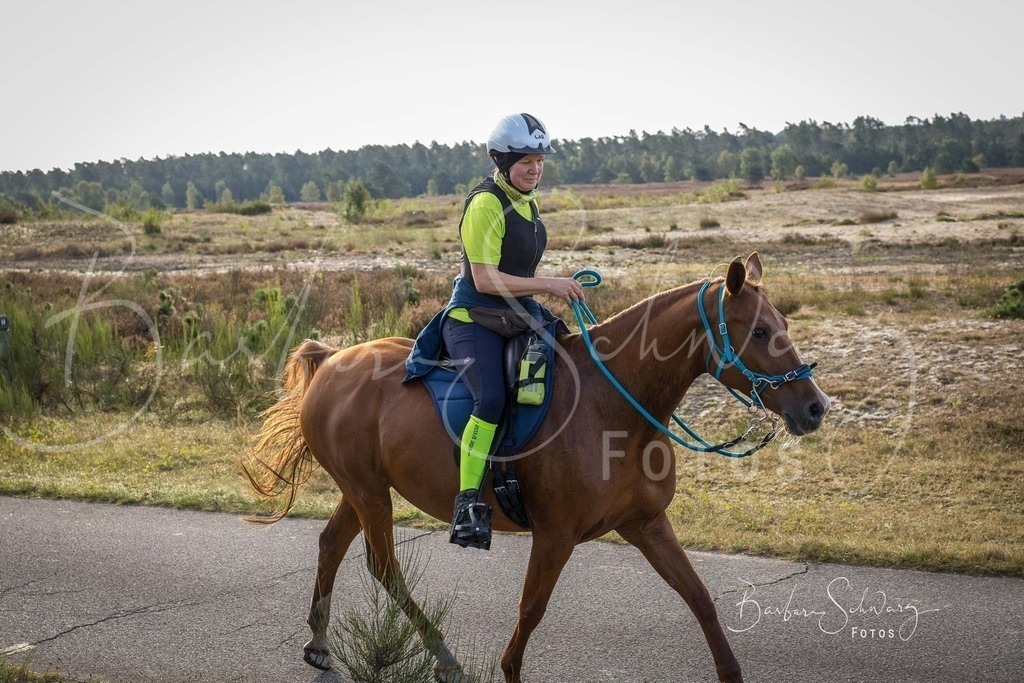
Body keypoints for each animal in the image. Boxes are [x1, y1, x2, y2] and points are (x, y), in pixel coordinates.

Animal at [240, 252, 829, 683]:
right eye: (758, 332)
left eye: (783, 323)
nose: (815, 407)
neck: (612, 406)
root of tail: (333, 359)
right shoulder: (555, 535)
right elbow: (530, 612)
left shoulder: (646, 524)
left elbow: (701, 599)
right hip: (369, 493)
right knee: (383, 566)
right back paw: (442, 654)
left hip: (361, 489)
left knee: (331, 545)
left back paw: (319, 643)